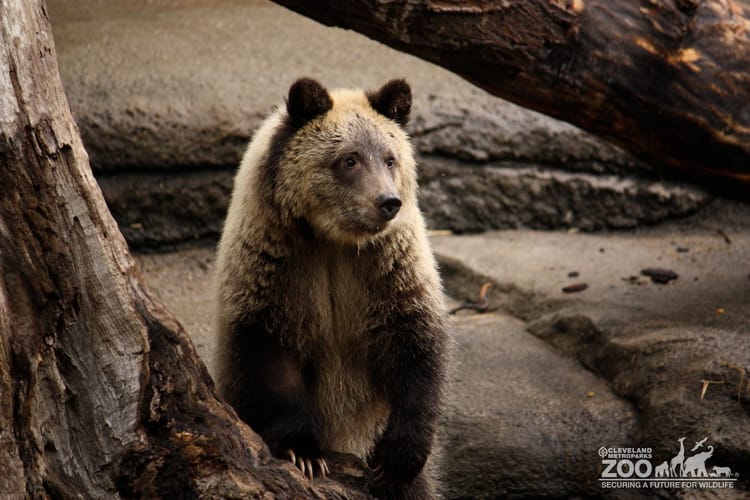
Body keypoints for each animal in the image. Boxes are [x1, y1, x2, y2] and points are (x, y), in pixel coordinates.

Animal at [214, 77, 448, 499]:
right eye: (349, 159)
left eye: (390, 158)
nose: (388, 202)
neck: (334, 240)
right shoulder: (275, 269)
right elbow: (271, 357)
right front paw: (303, 452)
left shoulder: (387, 268)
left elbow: (416, 342)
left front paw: (398, 457)